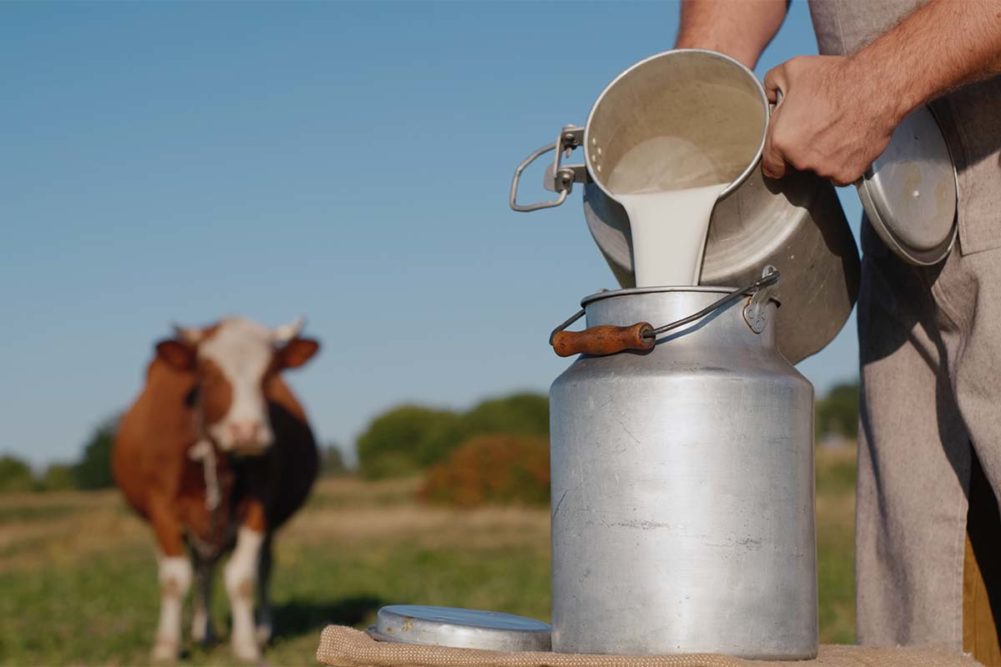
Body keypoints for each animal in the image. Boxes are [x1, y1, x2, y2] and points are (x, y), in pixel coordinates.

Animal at [115, 316, 322, 660]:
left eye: (270, 374)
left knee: (260, 568)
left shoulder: (259, 505)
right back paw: (203, 632)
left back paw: (260, 630)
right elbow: (174, 578)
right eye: (209, 373)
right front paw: (166, 647)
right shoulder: (161, 506)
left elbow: (243, 577)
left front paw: (247, 644)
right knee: (199, 570)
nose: (247, 431)